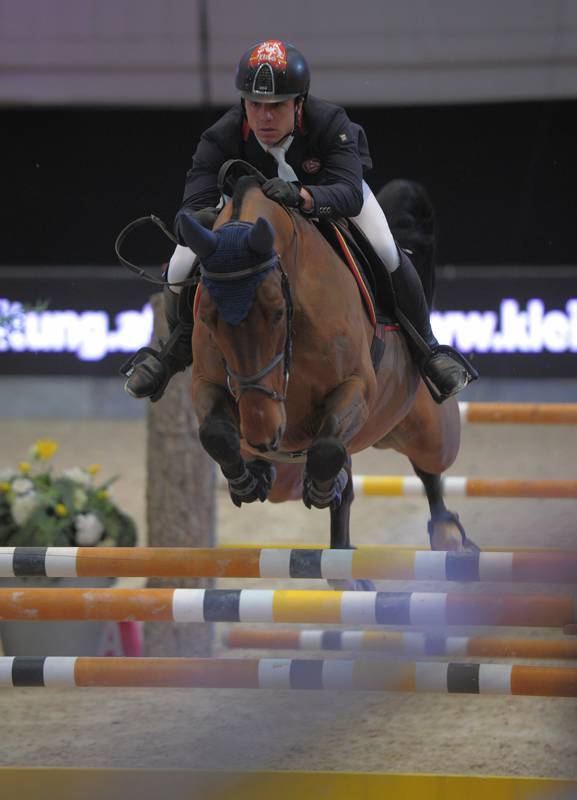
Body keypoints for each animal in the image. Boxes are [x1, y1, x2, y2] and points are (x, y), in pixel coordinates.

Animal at [179, 175, 472, 588]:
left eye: (277, 311)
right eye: (206, 316)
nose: (262, 433)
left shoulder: (356, 387)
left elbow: (327, 449)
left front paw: (322, 488)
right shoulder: (208, 384)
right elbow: (216, 433)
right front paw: (245, 481)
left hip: (428, 429)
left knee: (429, 469)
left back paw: (446, 534)